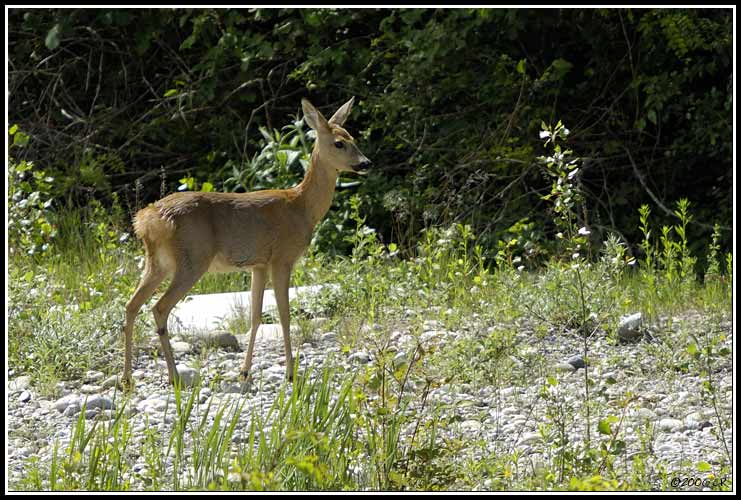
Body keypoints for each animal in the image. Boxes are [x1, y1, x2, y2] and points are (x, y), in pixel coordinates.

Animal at [122, 97, 371, 389]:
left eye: (353, 137)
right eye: (339, 143)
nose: (366, 163)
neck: (302, 207)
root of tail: (147, 220)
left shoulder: (258, 264)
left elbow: (255, 316)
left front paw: (245, 372)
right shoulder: (282, 258)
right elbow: (284, 315)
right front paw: (290, 373)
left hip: (157, 263)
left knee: (131, 305)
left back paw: (127, 379)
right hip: (192, 259)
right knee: (159, 308)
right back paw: (172, 377)